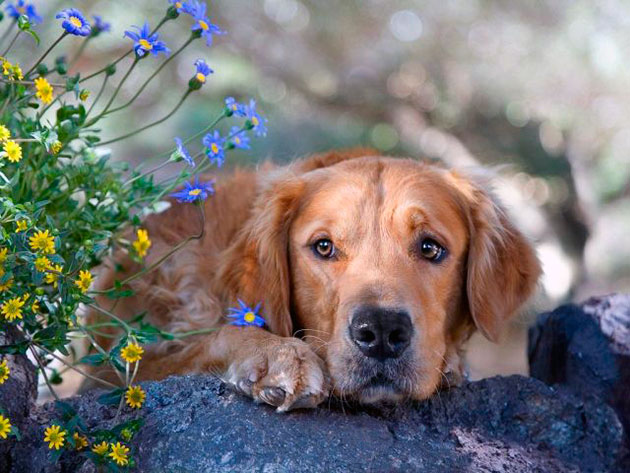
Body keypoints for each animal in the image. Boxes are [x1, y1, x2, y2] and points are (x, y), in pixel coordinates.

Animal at [86, 150, 544, 410]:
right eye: (324, 247)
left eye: (431, 248)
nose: (381, 332)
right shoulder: (119, 370)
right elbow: (215, 337)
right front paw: (277, 356)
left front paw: (450, 363)